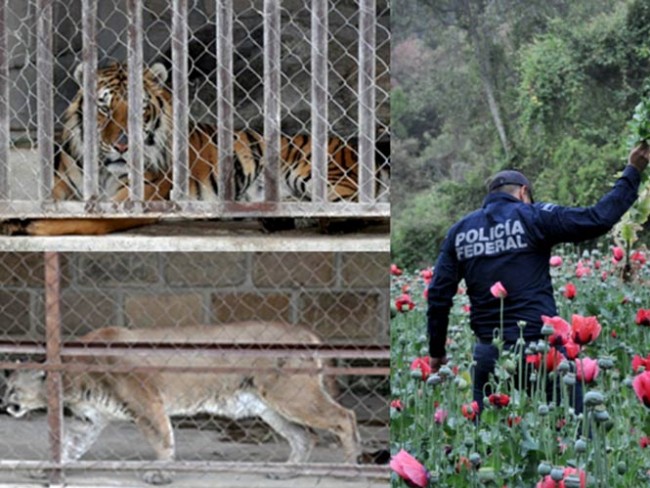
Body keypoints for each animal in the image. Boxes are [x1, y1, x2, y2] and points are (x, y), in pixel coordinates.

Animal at [10, 61, 388, 236]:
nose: (121, 145)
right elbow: (53, 204)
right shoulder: (61, 188)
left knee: (356, 205)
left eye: (139, 108)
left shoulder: (139, 197)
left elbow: (84, 218)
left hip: (316, 172)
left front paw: (32, 226)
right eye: (103, 107)